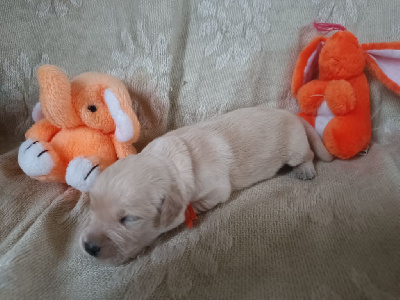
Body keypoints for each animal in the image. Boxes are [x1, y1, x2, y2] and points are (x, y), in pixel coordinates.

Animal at [79, 106, 332, 264]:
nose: (88, 247)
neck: (168, 162)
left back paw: (305, 170)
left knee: (308, 155)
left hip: (295, 148)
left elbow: (196, 205)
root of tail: (292, 114)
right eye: (93, 208)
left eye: (129, 219)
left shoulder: (216, 189)